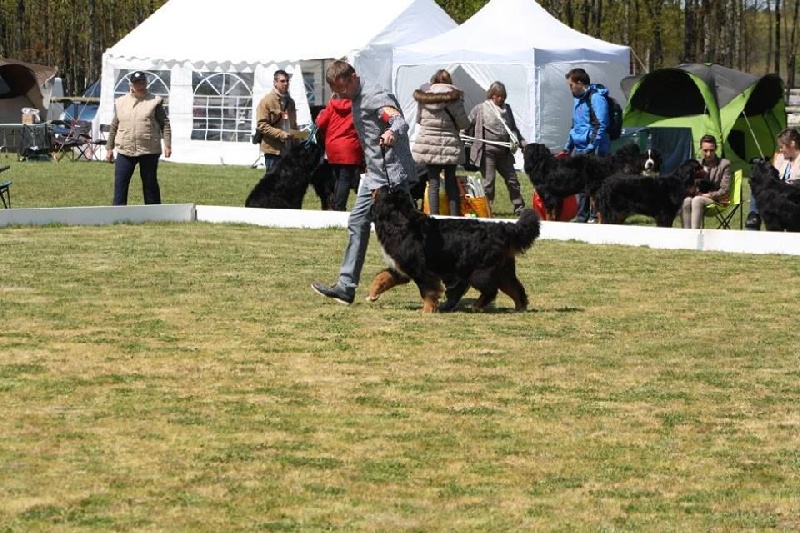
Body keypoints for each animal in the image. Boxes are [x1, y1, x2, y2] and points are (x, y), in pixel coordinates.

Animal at [366, 186, 540, 312]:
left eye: (387, 190)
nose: (379, 185)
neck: (398, 223)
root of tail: (502, 229)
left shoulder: (420, 270)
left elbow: (427, 292)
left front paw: (427, 310)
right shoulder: (401, 268)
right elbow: (381, 277)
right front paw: (372, 295)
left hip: (479, 272)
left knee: (492, 290)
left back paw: (477, 306)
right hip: (503, 271)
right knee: (516, 288)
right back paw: (519, 308)